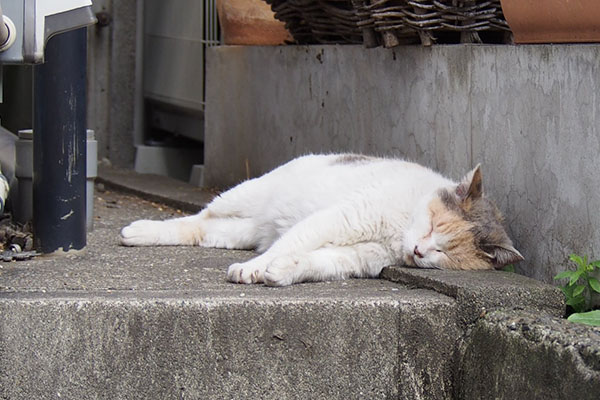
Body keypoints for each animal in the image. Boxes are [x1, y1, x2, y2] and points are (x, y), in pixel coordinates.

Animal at [119, 152, 524, 286]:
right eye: (433, 226)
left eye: (445, 253)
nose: (420, 252)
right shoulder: (342, 218)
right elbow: (295, 242)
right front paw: (255, 269)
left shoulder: (360, 256)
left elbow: (315, 261)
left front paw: (282, 272)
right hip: (244, 194)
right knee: (199, 214)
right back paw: (139, 229)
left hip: (240, 231)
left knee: (202, 230)